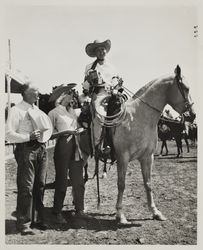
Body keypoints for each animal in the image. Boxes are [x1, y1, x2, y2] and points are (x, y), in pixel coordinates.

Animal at [93, 65, 195, 224]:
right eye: (186, 88)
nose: (192, 115)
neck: (138, 117)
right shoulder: (123, 157)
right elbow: (121, 184)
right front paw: (120, 214)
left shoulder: (147, 157)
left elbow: (148, 183)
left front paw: (155, 212)